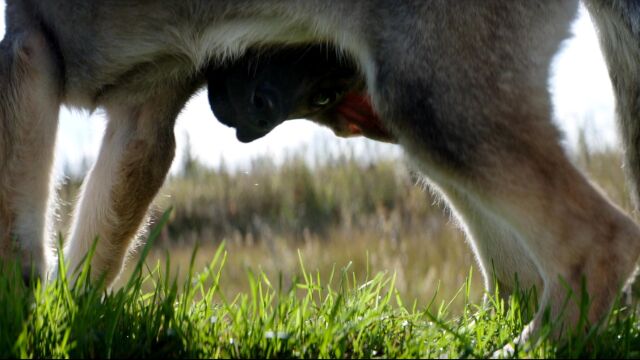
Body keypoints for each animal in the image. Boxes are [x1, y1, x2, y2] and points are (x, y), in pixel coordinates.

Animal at [1, 0, 640, 346]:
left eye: (328, 89)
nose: (253, 120)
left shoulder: (27, 54)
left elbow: (19, 248)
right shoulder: (143, 120)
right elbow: (86, 258)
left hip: (431, 95)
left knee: (601, 240)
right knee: (526, 275)